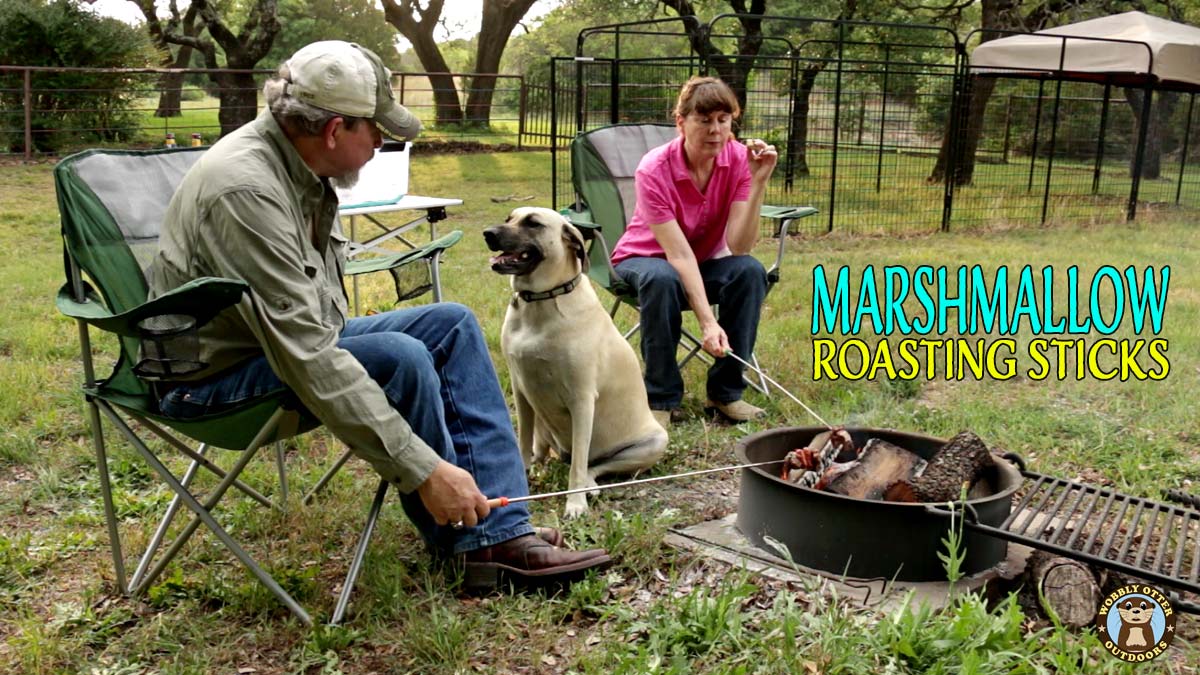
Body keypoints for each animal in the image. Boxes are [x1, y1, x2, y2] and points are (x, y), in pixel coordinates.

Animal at [484, 205, 672, 514]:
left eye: (533, 223)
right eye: (509, 218)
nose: (488, 233)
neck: (542, 300)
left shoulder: (581, 400)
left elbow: (578, 466)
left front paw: (575, 504)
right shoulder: (521, 391)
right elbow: (522, 443)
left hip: (653, 443)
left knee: (590, 467)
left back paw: (589, 485)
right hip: (544, 426)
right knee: (546, 451)